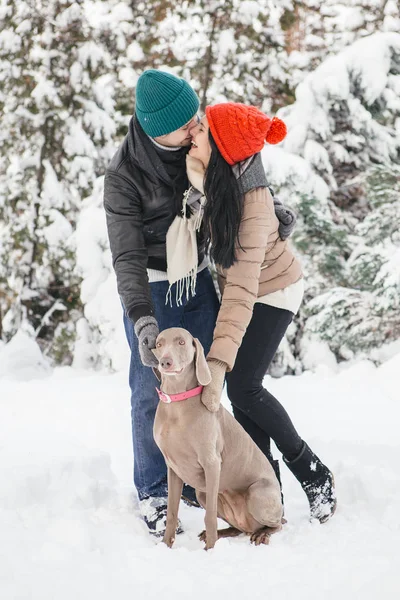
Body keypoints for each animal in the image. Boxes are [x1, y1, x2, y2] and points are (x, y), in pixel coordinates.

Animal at [152, 328, 282, 548]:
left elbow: (210, 516)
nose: (165, 362)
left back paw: (262, 534)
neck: (177, 403)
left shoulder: (212, 463)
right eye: (159, 344)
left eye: (181, 342)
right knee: (238, 528)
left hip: (258, 493)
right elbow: (172, 512)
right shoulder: (173, 468)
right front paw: (166, 545)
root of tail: (249, 525)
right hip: (202, 493)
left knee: (279, 524)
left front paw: (210, 550)